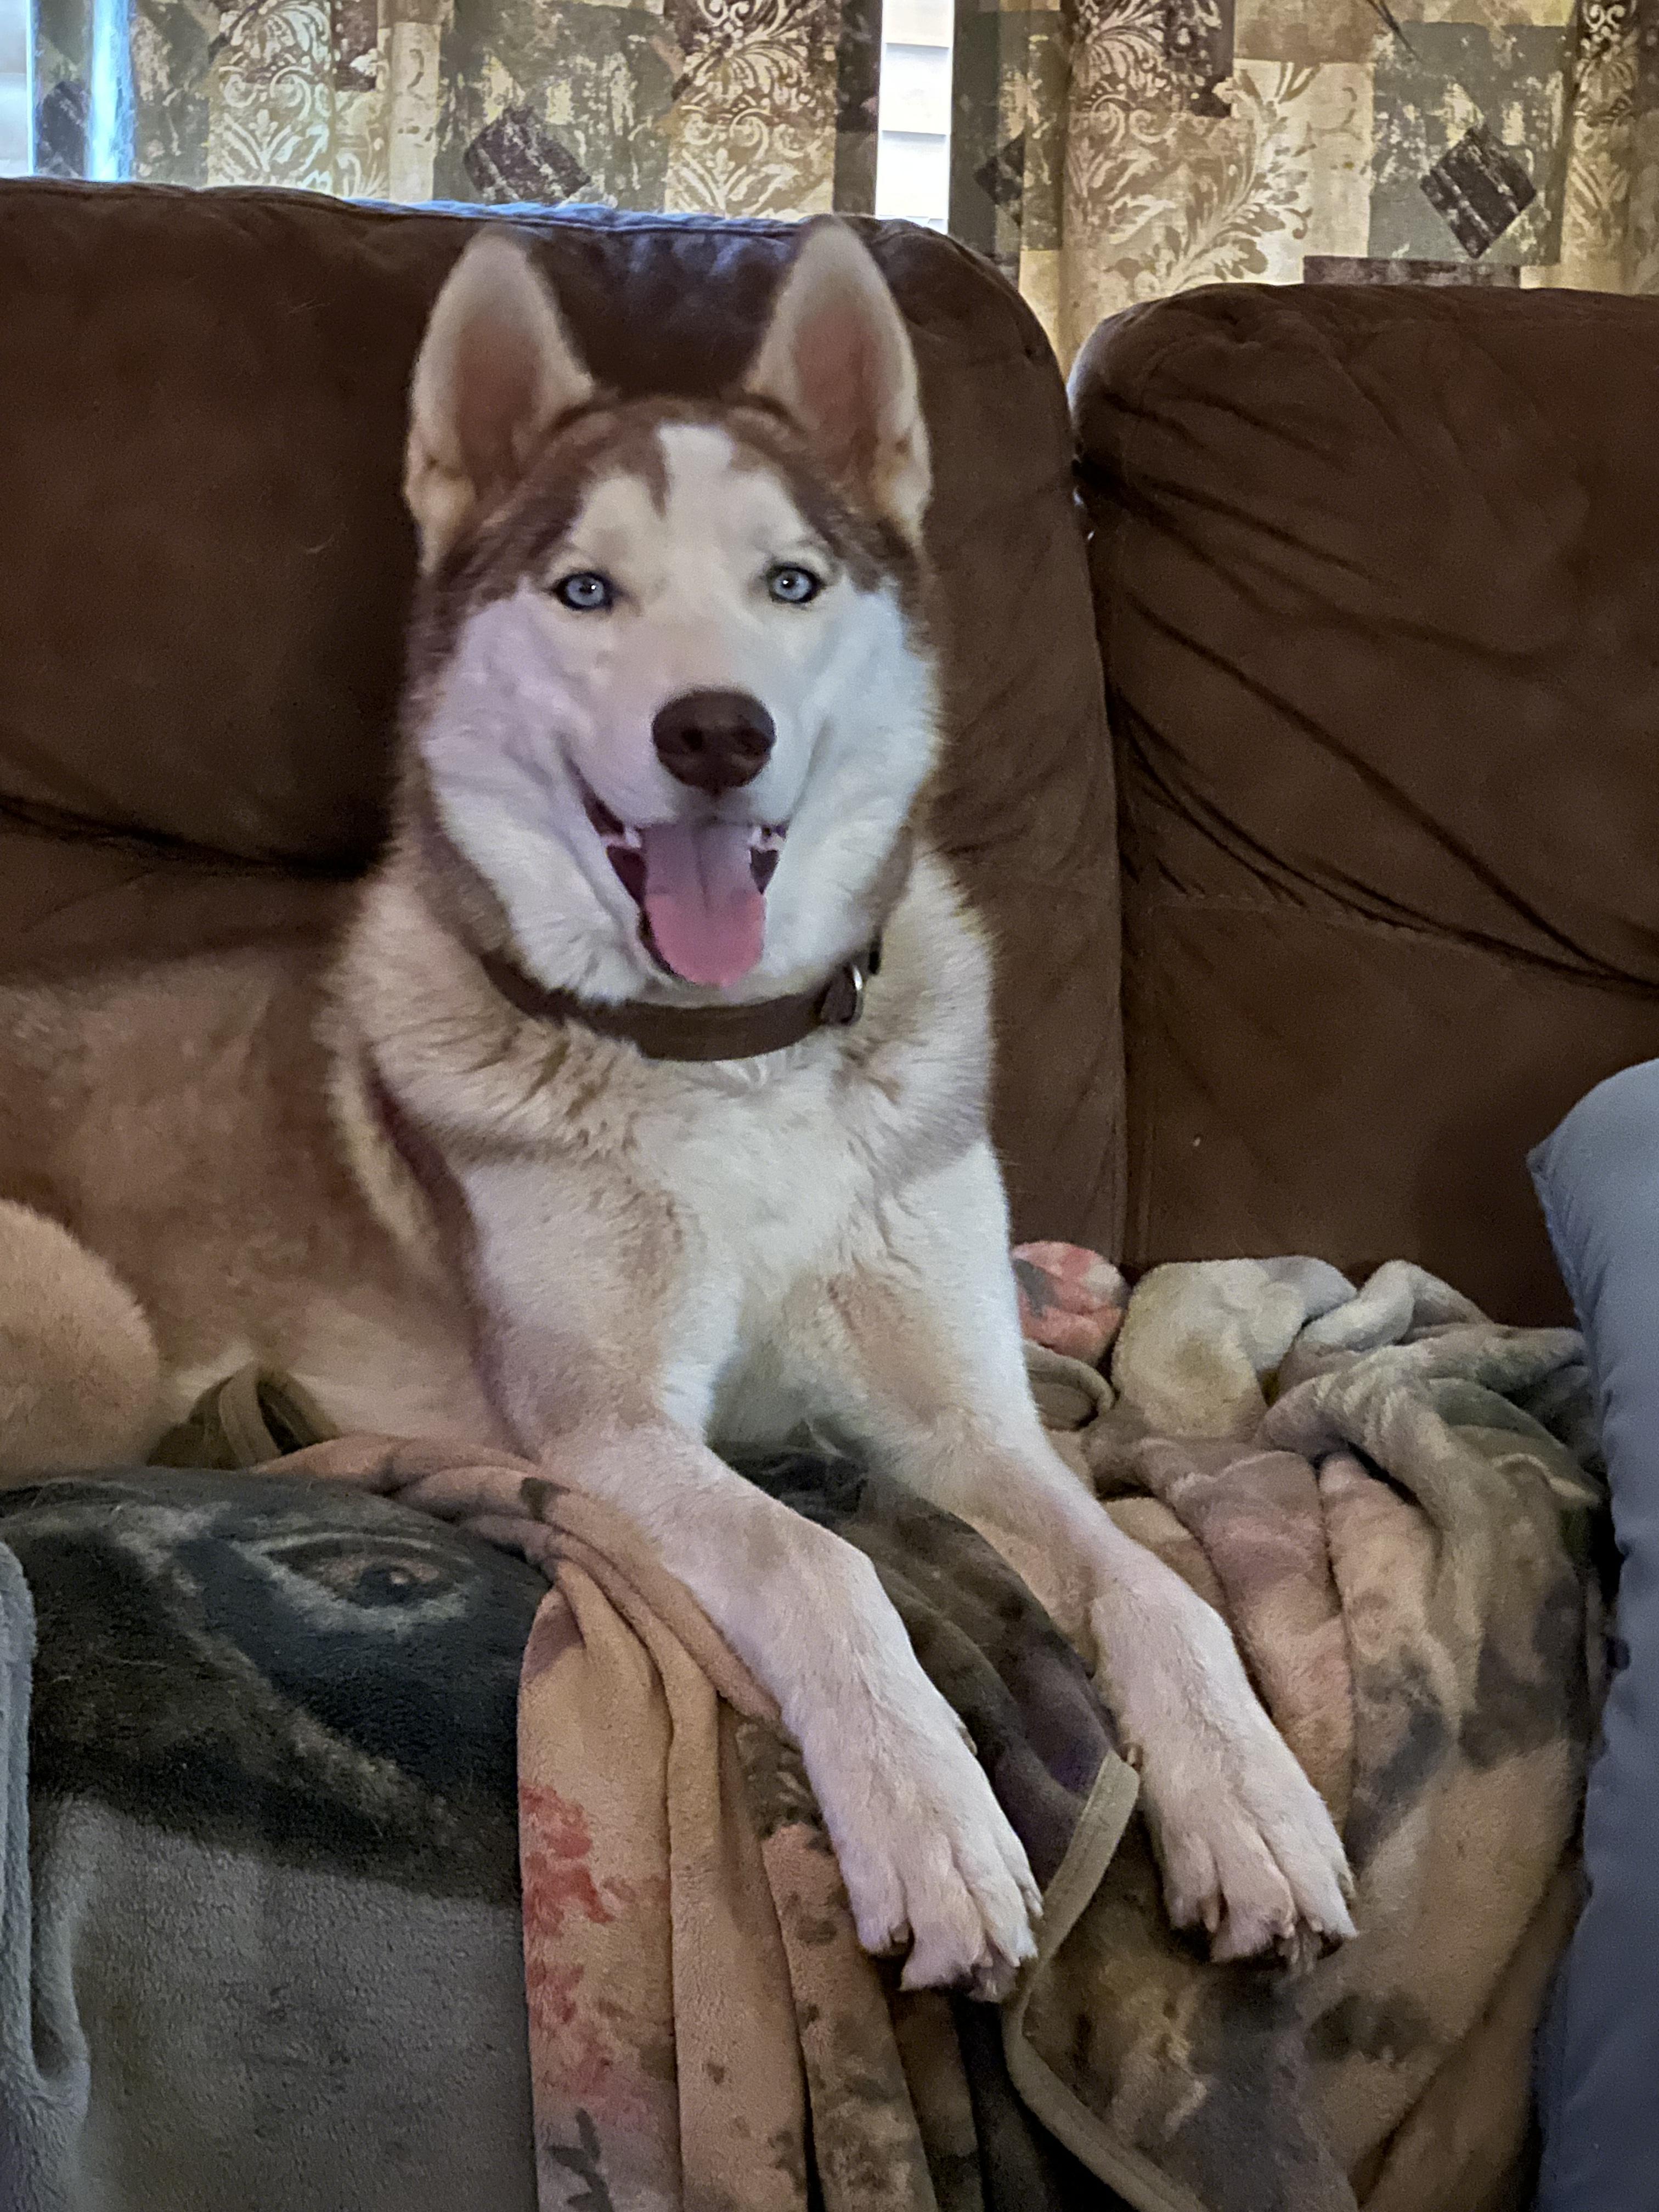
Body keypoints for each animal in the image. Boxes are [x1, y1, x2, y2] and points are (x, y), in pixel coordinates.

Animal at [0, 218, 1353, 1993]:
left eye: (794, 583)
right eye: (588, 589)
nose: (717, 730)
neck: (730, 1057)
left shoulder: (965, 1425)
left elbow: (1152, 1590)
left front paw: (1250, 1800)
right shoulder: (614, 1432)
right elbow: (819, 1557)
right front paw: (929, 1817)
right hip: (80, 1328)